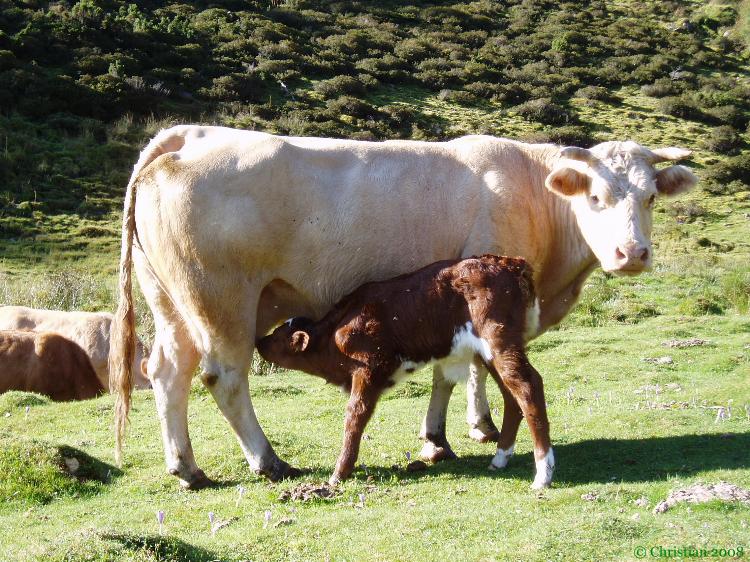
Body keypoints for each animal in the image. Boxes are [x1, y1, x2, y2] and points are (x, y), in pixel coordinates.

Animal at [257, 255, 555, 488]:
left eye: (279, 337)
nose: (259, 340)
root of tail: (509, 262)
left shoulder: (369, 370)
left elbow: (355, 415)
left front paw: (339, 473)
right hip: (491, 352)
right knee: (511, 396)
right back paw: (500, 458)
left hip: (500, 341)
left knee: (528, 386)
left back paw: (542, 473)